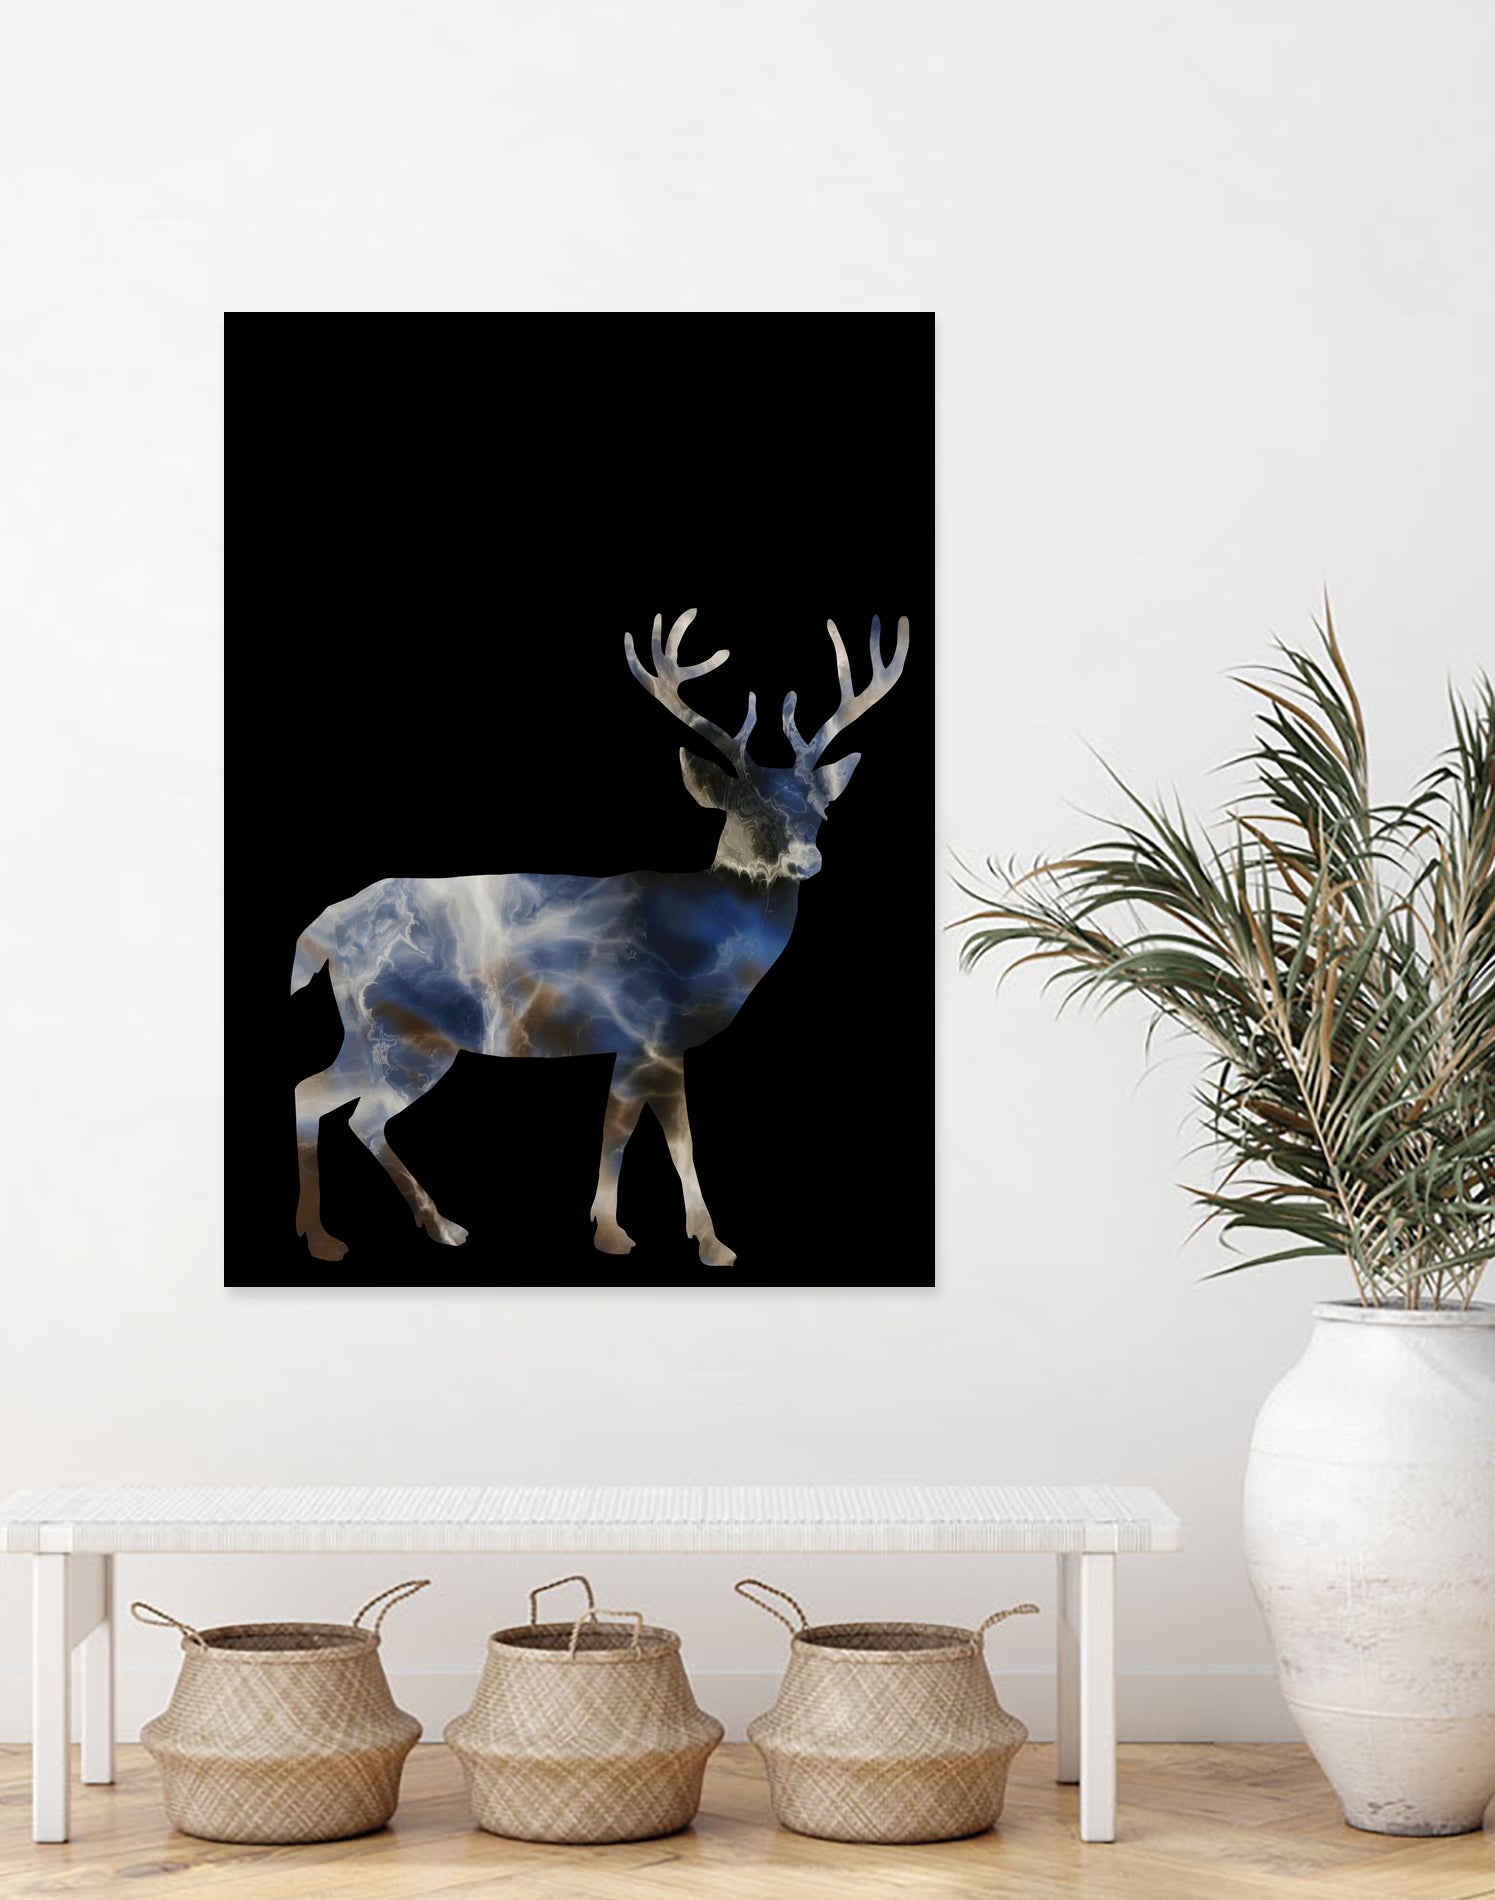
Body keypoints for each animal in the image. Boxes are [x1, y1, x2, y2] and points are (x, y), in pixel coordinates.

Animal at [290, 609, 909, 1267]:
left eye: (822, 812)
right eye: (745, 810)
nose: (807, 860)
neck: (704, 941)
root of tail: (325, 929)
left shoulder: (633, 1044)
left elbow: (619, 1129)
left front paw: (615, 1229)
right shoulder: (654, 1032)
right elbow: (670, 1140)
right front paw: (702, 1241)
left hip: (372, 1033)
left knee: (322, 1097)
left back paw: (377, 1228)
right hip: (404, 1034)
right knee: (353, 1112)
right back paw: (380, 1232)